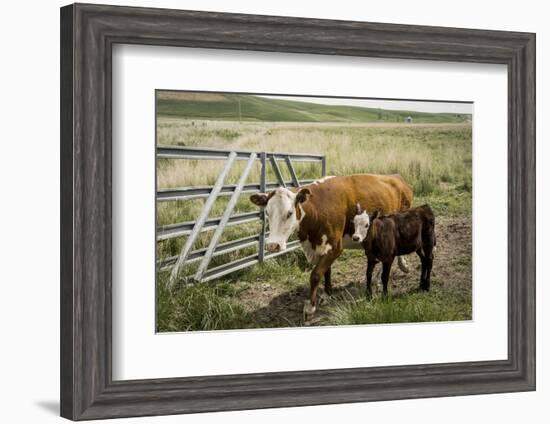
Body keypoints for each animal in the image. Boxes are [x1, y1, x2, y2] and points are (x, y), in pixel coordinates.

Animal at [250, 174, 414, 320]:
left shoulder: (335, 247)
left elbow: (316, 275)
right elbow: (326, 271)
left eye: (289, 213)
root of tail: (396, 177)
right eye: (267, 212)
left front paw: (310, 307)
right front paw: (327, 294)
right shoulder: (321, 247)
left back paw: (394, 271)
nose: (273, 245)